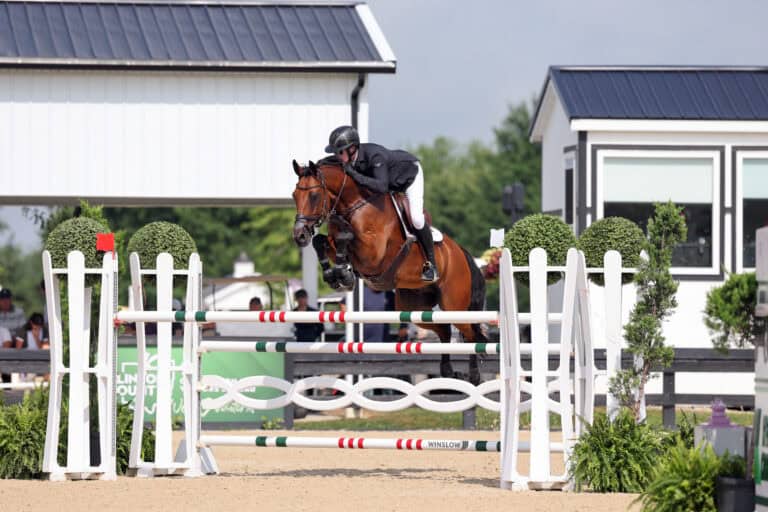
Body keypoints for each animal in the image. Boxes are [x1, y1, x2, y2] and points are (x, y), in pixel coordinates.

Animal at [291, 159, 488, 384]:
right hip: (415, 308)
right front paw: (334, 274)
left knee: (471, 334)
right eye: (294, 195)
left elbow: (345, 237)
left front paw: (343, 273)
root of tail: (461, 253)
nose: (299, 235)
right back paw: (447, 371)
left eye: (314, 195)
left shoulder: (372, 254)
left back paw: (474, 376)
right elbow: (321, 240)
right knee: (446, 331)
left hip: (454, 306)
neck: (353, 206)